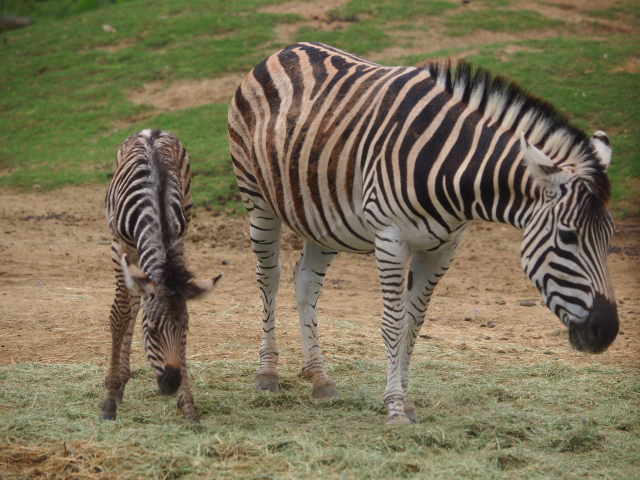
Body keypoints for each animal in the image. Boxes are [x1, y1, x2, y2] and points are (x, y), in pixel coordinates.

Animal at [100, 129, 220, 422]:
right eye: (152, 331)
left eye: (185, 331)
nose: (172, 383)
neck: (158, 214)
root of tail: (151, 131)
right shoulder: (118, 248)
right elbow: (119, 316)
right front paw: (109, 400)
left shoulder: (178, 243)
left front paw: (187, 405)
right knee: (130, 306)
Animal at [229, 41, 620, 424]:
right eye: (568, 237)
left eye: (610, 237)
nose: (607, 331)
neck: (452, 167)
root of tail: (285, 49)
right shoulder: (391, 240)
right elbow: (392, 322)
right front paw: (395, 410)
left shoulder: (443, 248)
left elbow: (413, 323)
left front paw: (406, 402)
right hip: (258, 200)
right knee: (269, 277)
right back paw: (267, 373)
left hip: (323, 216)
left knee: (307, 280)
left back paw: (319, 377)